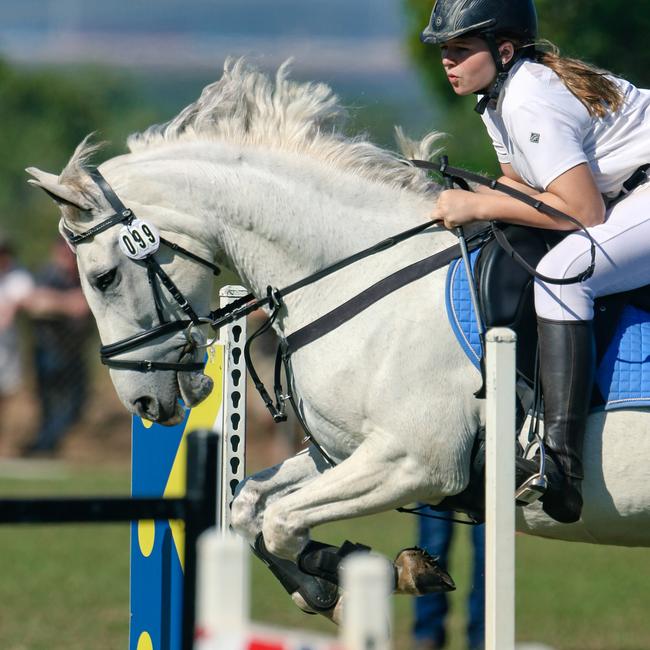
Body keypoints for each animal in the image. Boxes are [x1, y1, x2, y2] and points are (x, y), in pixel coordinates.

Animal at [27, 60, 648, 584]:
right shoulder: (346, 453)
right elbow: (250, 506)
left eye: (104, 278)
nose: (140, 402)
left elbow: (280, 521)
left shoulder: (414, 461)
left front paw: (371, 573)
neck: (362, 275)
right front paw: (333, 582)